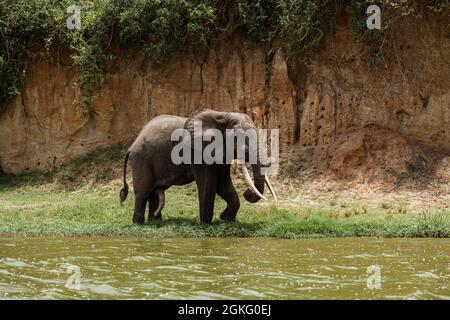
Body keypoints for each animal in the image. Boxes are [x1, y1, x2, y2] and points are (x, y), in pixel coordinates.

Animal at [118, 109, 276, 224]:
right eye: (241, 139)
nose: (247, 192)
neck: (224, 115)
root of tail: (132, 145)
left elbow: (223, 184)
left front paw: (226, 220)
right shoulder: (197, 152)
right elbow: (208, 184)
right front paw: (206, 224)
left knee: (153, 192)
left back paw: (155, 222)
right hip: (142, 158)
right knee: (143, 191)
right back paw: (138, 224)